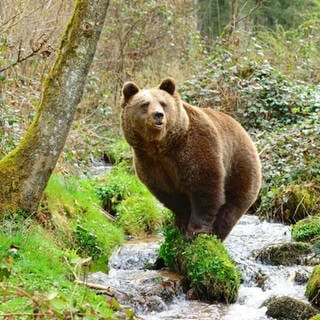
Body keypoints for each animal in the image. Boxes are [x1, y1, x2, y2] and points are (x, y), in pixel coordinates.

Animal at [119, 77, 260, 240]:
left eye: (163, 103)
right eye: (145, 104)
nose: (158, 115)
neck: (163, 145)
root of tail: (243, 130)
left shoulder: (195, 147)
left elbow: (204, 188)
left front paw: (196, 231)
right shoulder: (150, 162)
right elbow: (171, 195)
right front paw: (181, 225)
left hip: (239, 166)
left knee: (232, 207)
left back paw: (217, 233)